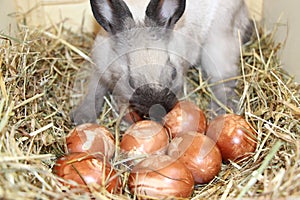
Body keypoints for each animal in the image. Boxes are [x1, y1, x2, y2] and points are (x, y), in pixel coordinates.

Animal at [71, 0, 252, 124]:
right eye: (131, 81)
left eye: (173, 73)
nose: (158, 110)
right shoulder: (99, 69)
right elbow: (93, 90)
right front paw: (82, 118)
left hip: (217, 43)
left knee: (224, 79)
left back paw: (221, 111)